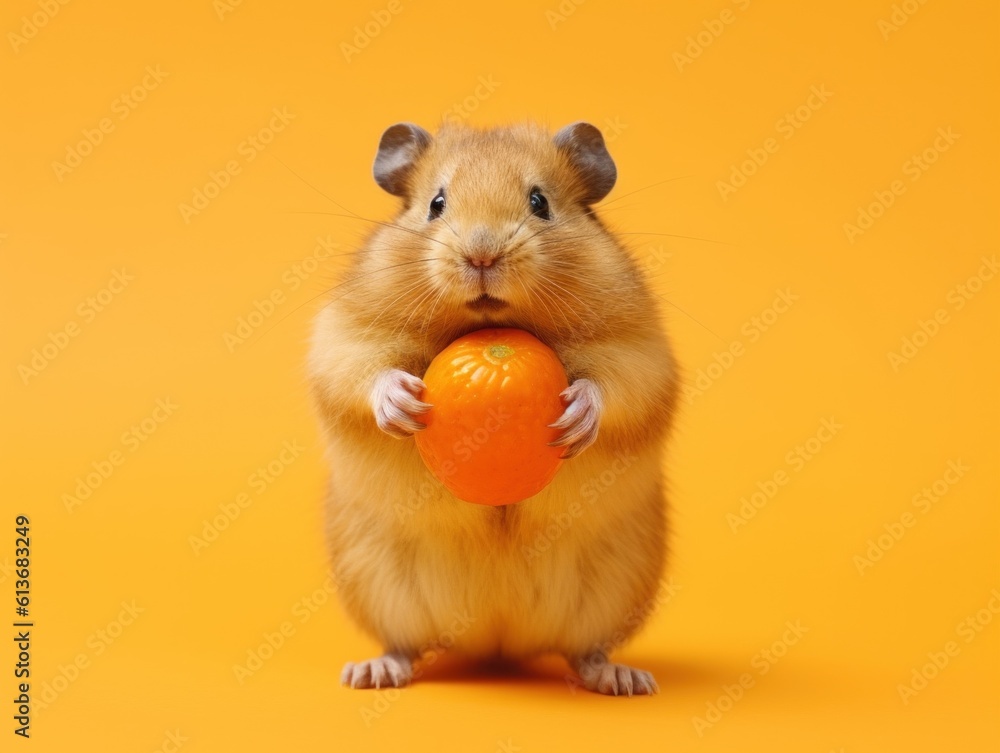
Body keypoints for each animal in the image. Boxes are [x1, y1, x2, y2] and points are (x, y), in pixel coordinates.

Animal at [308, 121, 678, 696]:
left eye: (540, 202)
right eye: (436, 204)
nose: (482, 256)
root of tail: (495, 644)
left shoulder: (641, 352)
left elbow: (614, 384)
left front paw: (575, 418)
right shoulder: (343, 338)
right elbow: (361, 370)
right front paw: (403, 404)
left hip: (616, 588)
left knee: (586, 652)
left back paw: (623, 680)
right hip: (377, 583)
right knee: (403, 646)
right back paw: (371, 673)